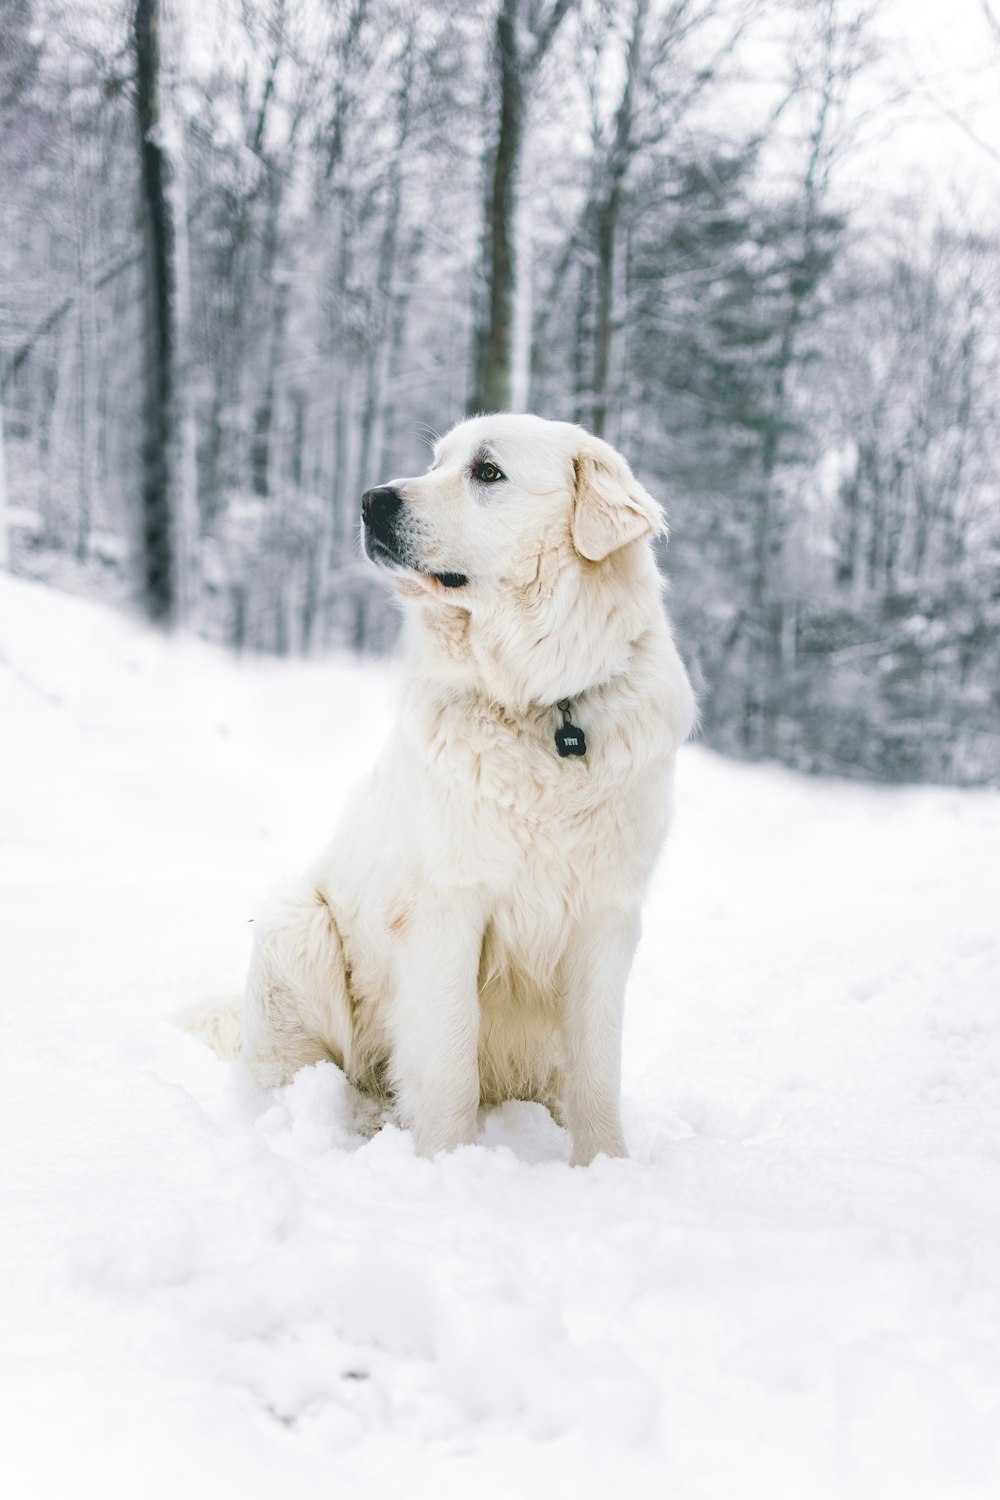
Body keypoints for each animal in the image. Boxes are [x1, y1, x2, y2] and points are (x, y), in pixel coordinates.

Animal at [227, 417, 695, 1164]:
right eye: (435, 462)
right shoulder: (446, 909)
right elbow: (448, 1062)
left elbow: (598, 1068)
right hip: (295, 924)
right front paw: (447, 1167)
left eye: (488, 472)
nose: (371, 499)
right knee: (307, 1073)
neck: (542, 705)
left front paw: (605, 1166)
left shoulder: (606, 915)